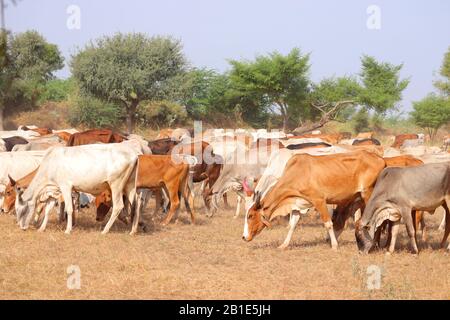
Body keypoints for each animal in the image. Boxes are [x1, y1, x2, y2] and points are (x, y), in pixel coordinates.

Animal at [241, 150, 384, 250]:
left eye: (251, 216)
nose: (244, 237)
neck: (297, 174)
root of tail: (380, 159)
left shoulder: (319, 201)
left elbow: (328, 223)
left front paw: (334, 245)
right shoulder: (297, 205)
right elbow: (292, 226)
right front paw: (283, 245)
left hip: (368, 194)